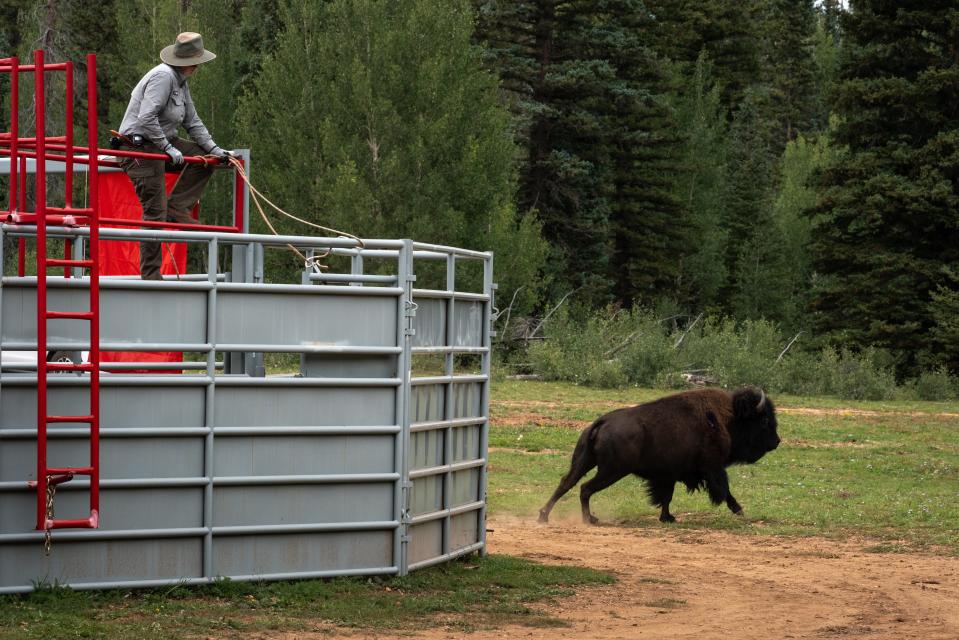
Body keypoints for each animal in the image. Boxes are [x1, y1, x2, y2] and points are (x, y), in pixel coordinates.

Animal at [540, 384, 780, 524]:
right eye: (764, 420)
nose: (777, 441)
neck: (728, 417)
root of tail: (602, 421)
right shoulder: (713, 468)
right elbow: (725, 490)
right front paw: (739, 510)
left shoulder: (668, 475)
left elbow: (666, 497)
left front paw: (667, 517)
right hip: (611, 471)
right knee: (585, 488)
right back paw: (589, 519)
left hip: (584, 462)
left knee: (566, 483)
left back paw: (543, 516)